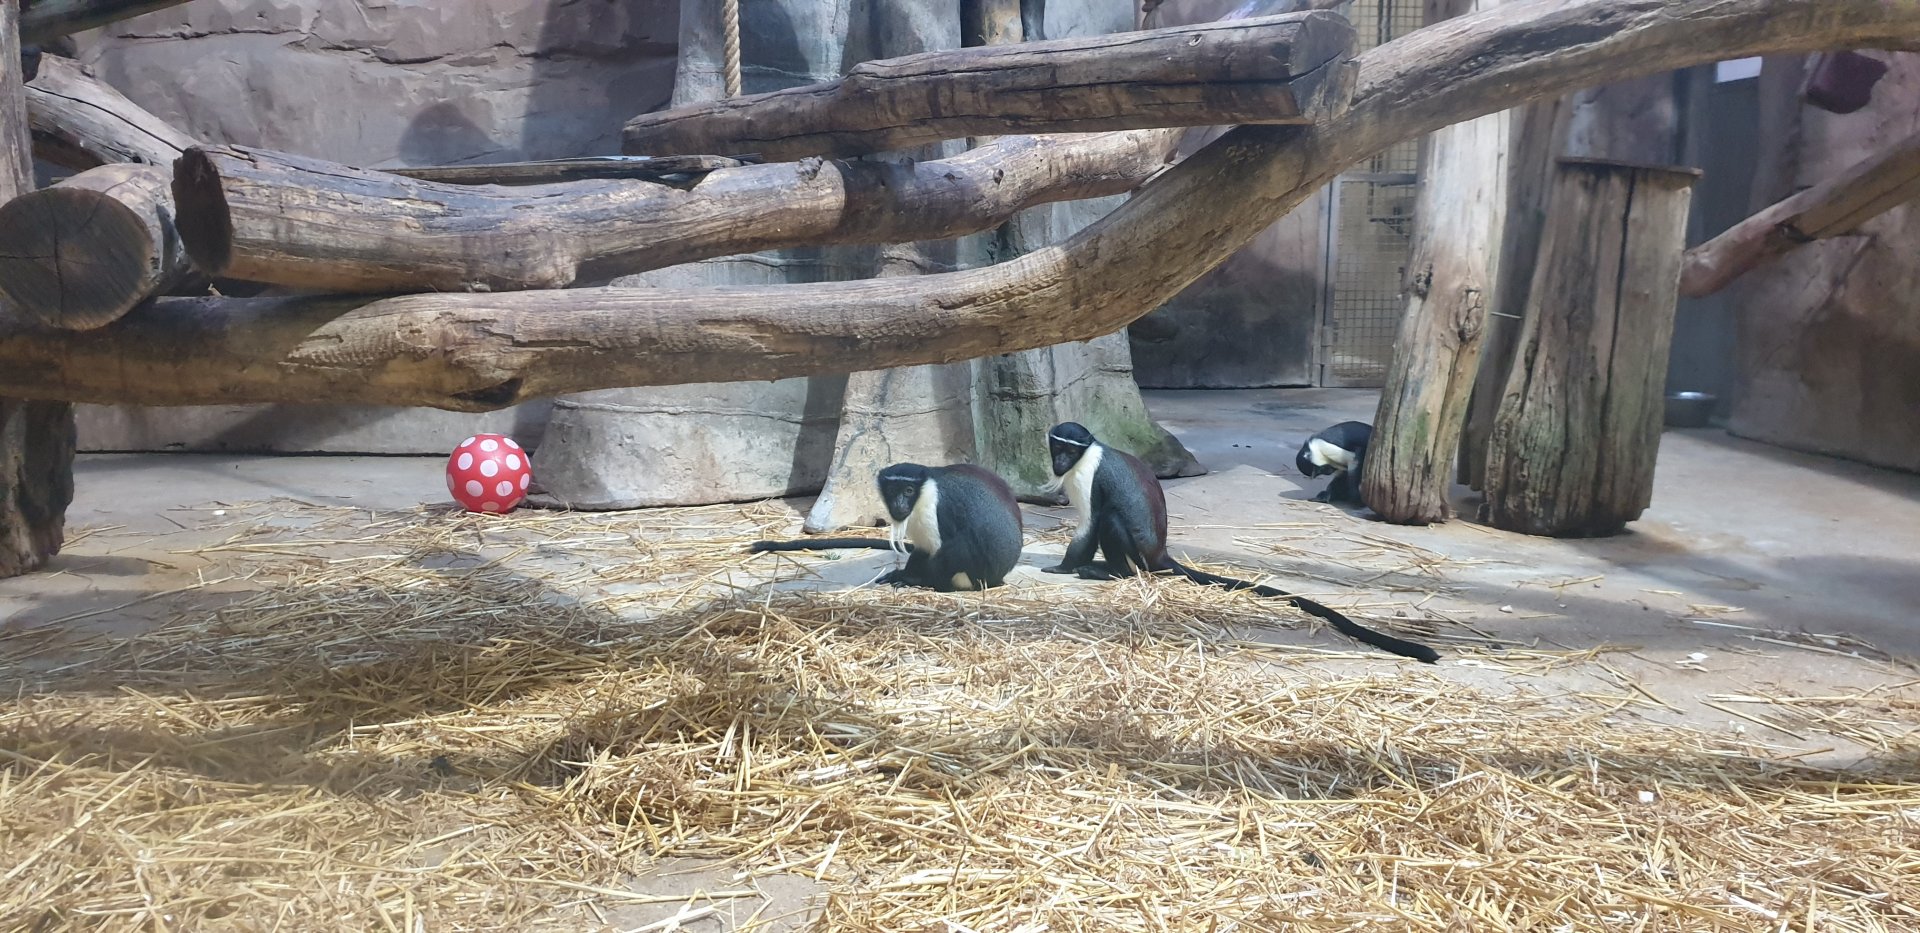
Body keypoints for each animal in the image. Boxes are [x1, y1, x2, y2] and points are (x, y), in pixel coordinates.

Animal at [748, 462, 1024, 592]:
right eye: (892, 491)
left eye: (908, 491)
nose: (899, 503)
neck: (927, 484)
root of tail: (997, 578)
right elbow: (921, 550)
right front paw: (904, 575)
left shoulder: (932, 506)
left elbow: (940, 551)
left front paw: (914, 580)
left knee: (958, 548)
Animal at [1044, 422, 1439, 663]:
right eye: (1056, 446)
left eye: (1069, 451)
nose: (1060, 460)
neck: (1087, 454)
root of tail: (1161, 554)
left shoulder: (1086, 476)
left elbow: (1090, 523)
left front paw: (1061, 567)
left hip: (1135, 553)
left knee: (1111, 522)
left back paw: (1108, 572)